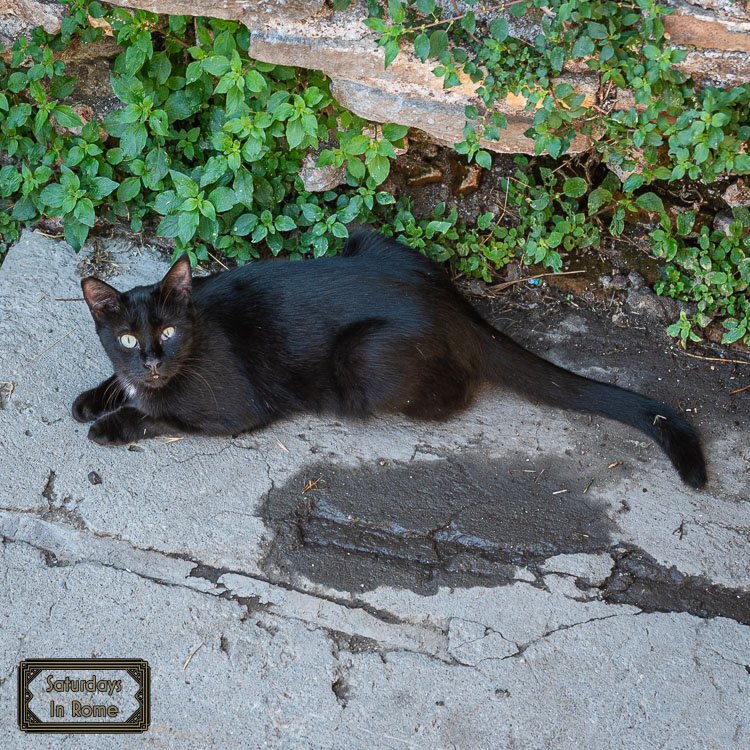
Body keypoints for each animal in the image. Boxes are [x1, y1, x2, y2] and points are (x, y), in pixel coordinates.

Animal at [73, 231, 708, 488]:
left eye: (169, 330)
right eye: (126, 339)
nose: (152, 360)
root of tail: (449, 303)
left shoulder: (233, 411)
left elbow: (163, 415)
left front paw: (112, 424)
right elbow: (121, 385)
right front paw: (92, 398)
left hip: (363, 360)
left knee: (453, 393)